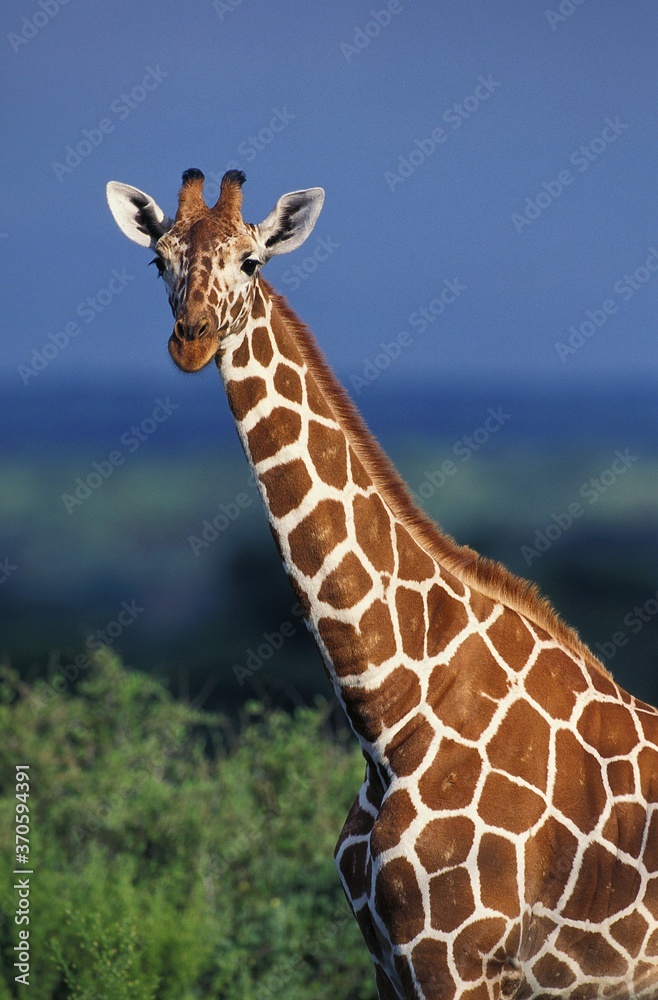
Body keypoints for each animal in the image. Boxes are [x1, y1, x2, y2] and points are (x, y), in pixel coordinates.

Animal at [106, 167, 658, 1000]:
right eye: (157, 260)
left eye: (252, 262)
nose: (192, 339)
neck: (394, 714)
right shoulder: (389, 960)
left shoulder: (455, 959)